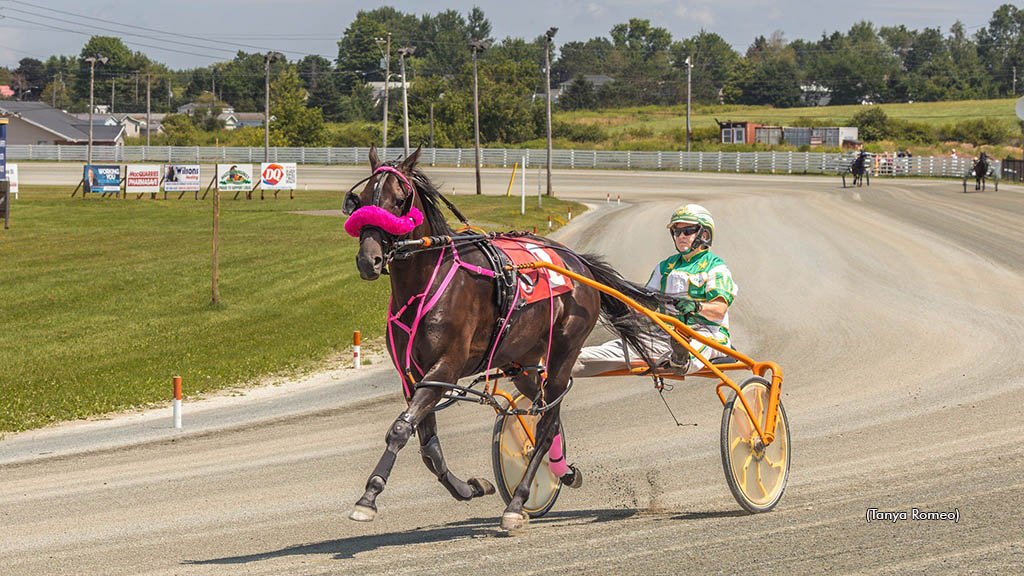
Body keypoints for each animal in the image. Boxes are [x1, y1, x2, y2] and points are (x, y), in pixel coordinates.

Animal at [342, 144, 671, 528]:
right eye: (363, 199)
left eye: (399, 200)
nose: (369, 260)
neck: (430, 279)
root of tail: (580, 264)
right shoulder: (414, 376)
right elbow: (427, 445)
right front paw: (469, 487)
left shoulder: (445, 367)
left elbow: (399, 428)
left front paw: (368, 496)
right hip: (523, 362)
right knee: (544, 411)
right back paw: (562, 471)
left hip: (564, 350)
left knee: (546, 425)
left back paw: (518, 501)